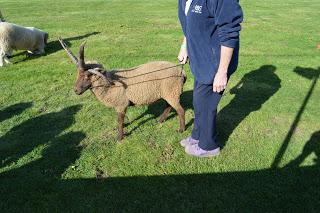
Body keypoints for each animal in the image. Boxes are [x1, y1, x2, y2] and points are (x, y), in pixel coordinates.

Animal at [58, 37, 186, 141]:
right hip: (168, 93)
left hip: (172, 91)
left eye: (87, 76)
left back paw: (181, 129)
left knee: (180, 111)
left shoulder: (121, 104)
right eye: (77, 74)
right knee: (168, 106)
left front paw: (119, 137)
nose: (76, 90)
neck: (109, 84)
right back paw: (160, 120)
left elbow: (120, 120)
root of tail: (182, 72)